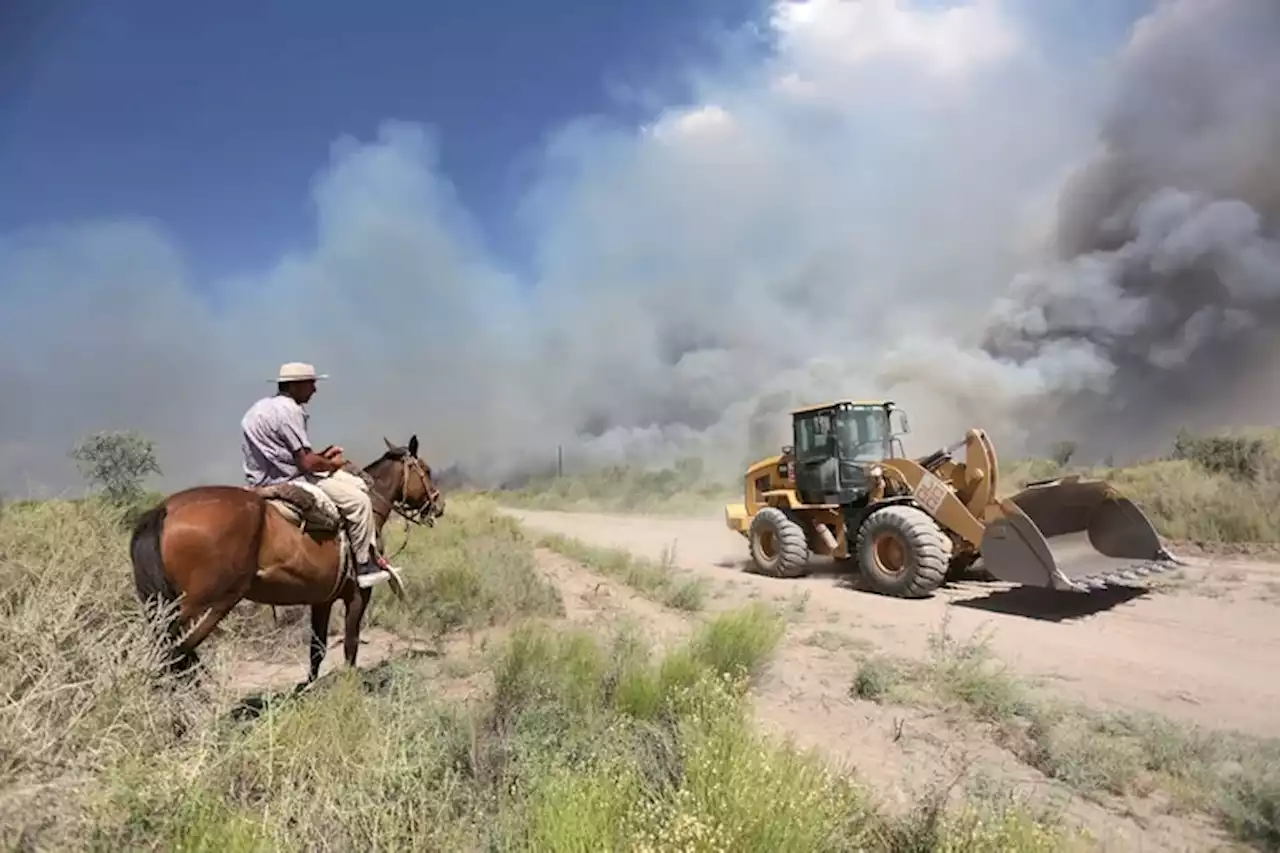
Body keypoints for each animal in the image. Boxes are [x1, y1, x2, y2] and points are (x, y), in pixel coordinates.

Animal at [126, 435, 445, 681]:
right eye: (426, 470)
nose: (438, 505)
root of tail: (163, 510)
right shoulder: (358, 595)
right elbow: (350, 645)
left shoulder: (322, 599)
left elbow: (317, 649)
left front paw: (308, 689)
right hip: (206, 607)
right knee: (174, 656)